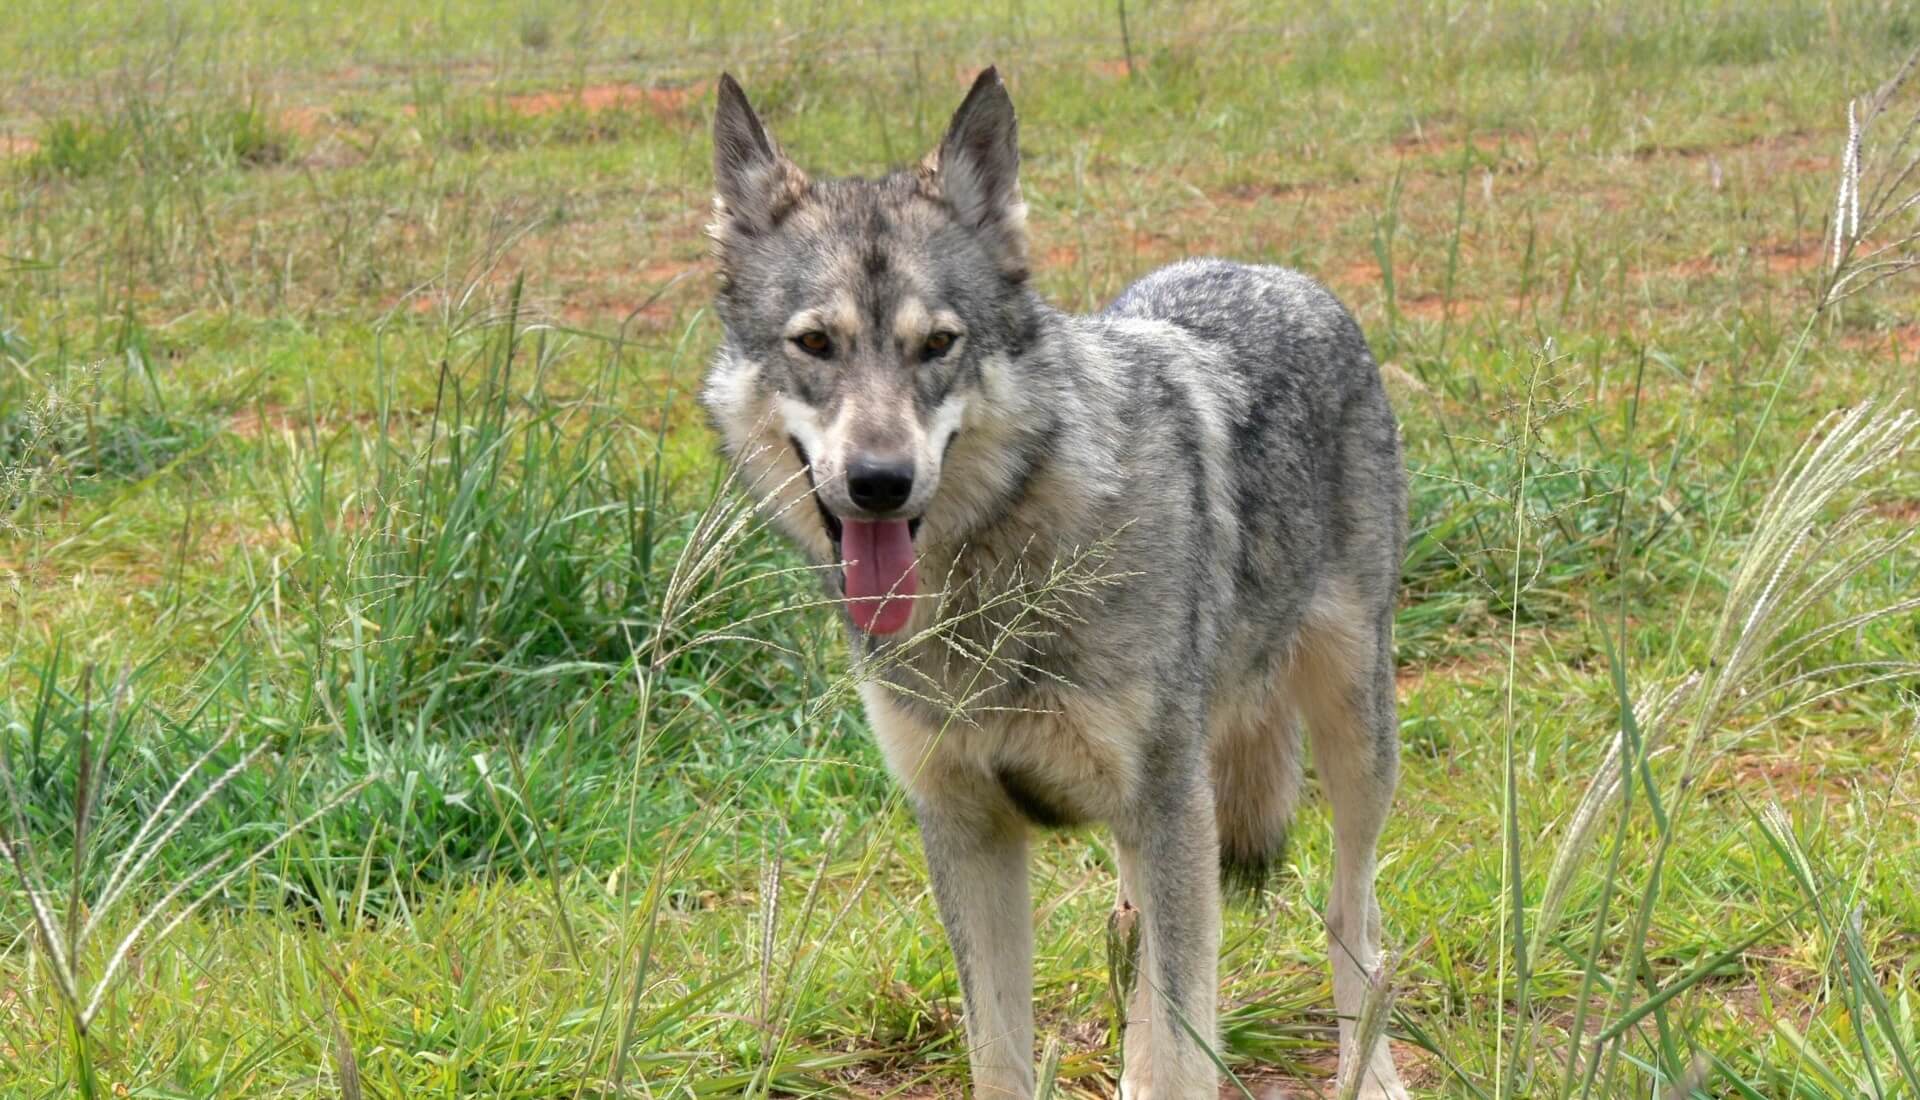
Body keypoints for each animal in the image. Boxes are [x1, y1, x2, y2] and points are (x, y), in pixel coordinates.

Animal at [700, 67, 1410, 1100]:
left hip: (1349, 740)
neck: (991, 585)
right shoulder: (966, 828)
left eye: (938, 345)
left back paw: (1374, 1071)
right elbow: (1002, 1053)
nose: (880, 483)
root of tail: (1284, 276)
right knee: (1136, 951)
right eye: (815, 344)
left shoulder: (1168, 809)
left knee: (1352, 921)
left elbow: (1187, 1047)